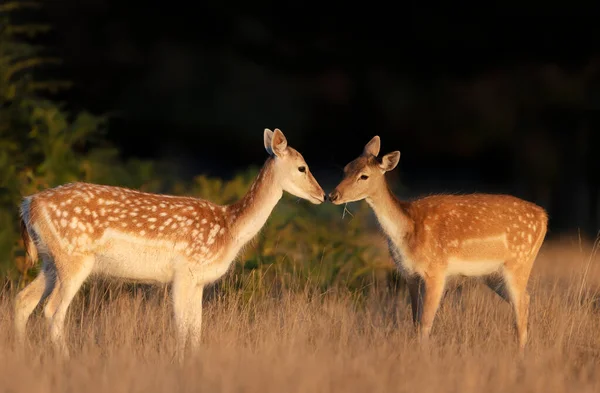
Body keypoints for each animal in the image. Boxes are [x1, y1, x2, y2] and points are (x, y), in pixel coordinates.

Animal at [14, 128, 324, 358]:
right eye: (302, 167)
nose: (322, 195)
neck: (229, 228)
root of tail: (28, 205)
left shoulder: (198, 281)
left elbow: (196, 328)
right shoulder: (183, 271)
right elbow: (181, 326)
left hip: (50, 261)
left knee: (23, 301)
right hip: (74, 258)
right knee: (52, 310)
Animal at [328, 136, 548, 350]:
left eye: (363, 176)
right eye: (346, 168)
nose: (332, 195)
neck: (408, 232)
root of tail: (544, 217)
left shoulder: (436, 270)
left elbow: (426, 323)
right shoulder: (409, 274)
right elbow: (415, 322)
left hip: (519, 262)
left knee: (521, 304)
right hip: (493, 275)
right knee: (524, 300)